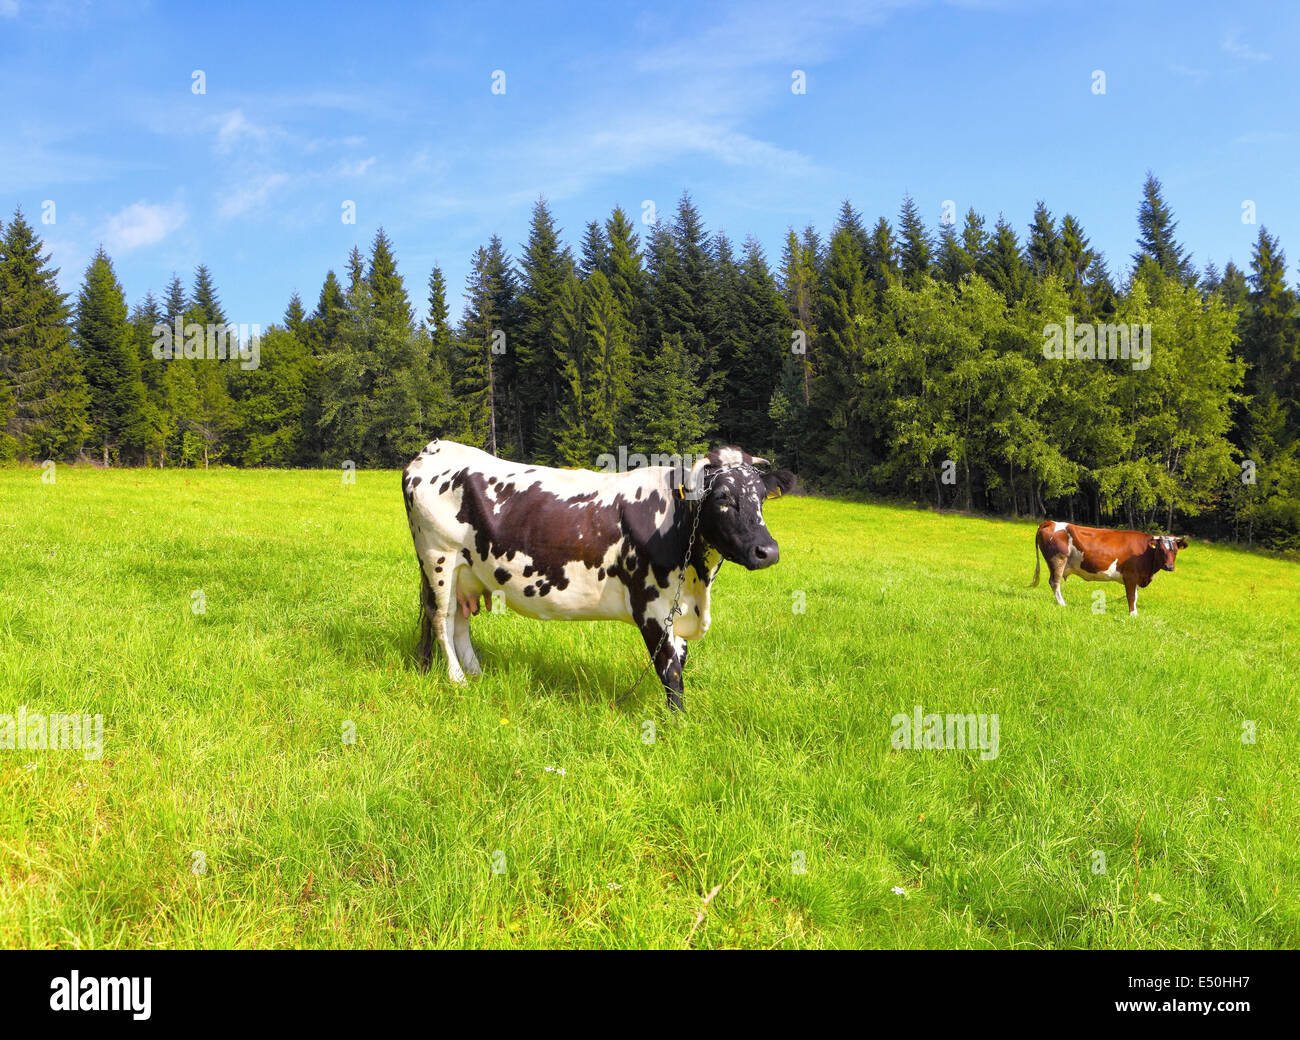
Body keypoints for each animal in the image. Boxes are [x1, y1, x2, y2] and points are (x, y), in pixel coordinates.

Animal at [401, 439, 796, 710]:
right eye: (722, 497)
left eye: (762, 496)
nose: (767, 551)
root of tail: (436, 447)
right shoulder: (651, 608)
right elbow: (670, 671)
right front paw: (678, 725)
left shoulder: (677, 605)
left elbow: (680, 662)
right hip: (439, 558)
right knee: (442, 620)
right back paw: (458, 681)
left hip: (466, 571)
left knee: (460, 621)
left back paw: (476, 674)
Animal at [1031, 521, 1187, 616]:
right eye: (1161, 549)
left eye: (1175, 551)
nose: (1169, 567)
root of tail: (1051, 522)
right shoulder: (1130, 576)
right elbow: (1131, 597)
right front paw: (1133, 615)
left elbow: (1135, 596)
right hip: (1058, 560)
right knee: (1054, 583)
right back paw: (1063, 604)